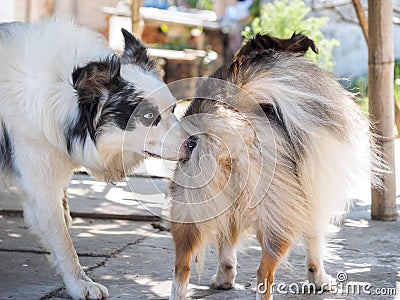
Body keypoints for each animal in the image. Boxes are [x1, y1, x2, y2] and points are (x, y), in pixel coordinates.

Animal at [0, 19, 188, 298]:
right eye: (147, 117)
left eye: (174, 109)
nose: (194, 142)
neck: (61, 96)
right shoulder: (41, 184)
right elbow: (63, 242)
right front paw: (81, 285)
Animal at [170, 33, 384, 300]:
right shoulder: (311, 194)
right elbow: (315, 240)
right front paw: (320, 279)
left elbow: (226, 244)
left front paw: (224, 279)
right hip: (280, 215)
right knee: (264, 273)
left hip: (188, 206)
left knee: (182, 266)